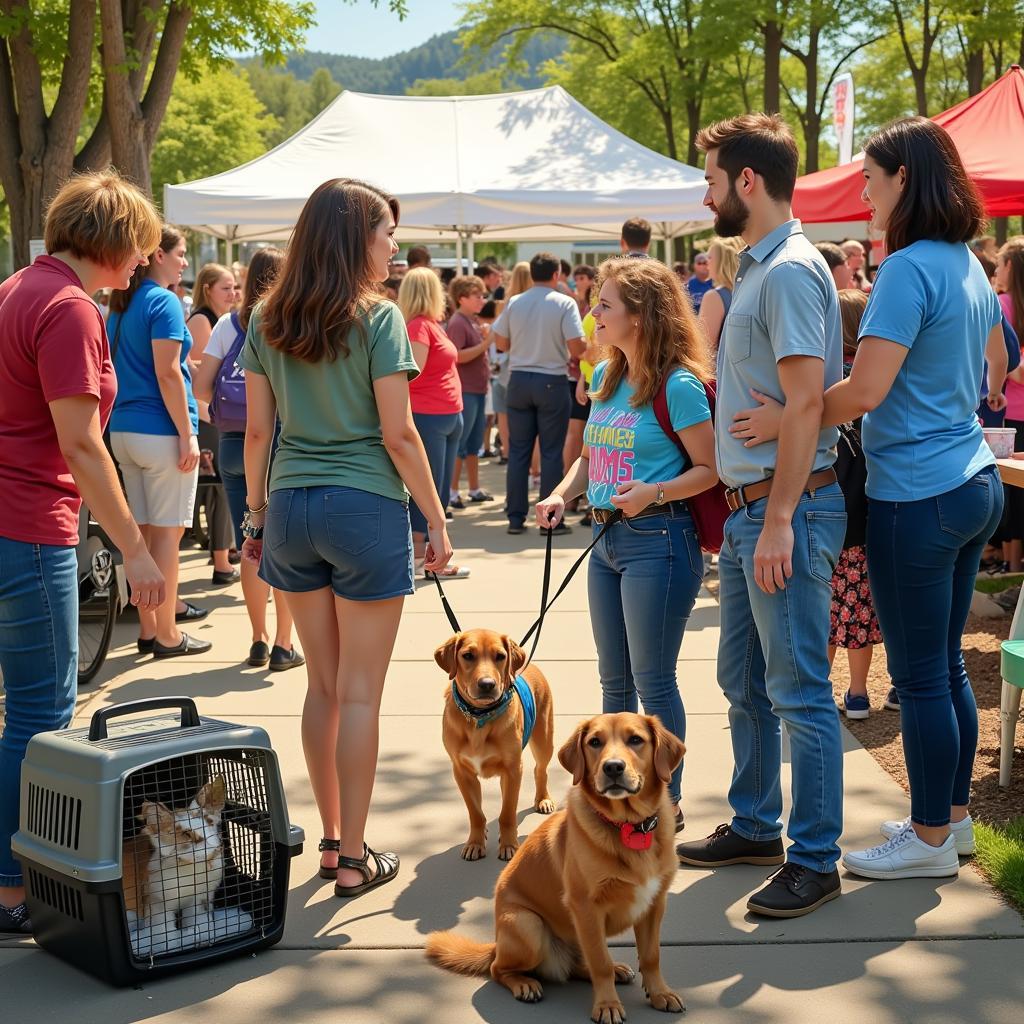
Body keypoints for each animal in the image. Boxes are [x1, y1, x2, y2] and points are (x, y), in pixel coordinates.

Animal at [12, 696, 303, 983]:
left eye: (211, 823)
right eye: (185, 834)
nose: (211, 848)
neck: (191, 873)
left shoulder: (198, 901)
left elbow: (198, 925)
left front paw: (206, 935)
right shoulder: (157, 904)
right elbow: (167, 936)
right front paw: (171, 945)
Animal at [423, 712, 688, 1024]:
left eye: (636, 739)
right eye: (594, 742)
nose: (613, 767)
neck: (628, 826)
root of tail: (496, 945)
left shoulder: (654, 904)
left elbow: (650, 956)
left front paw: (660, 993)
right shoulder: (586, 908)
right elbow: (600, 963)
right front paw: (607, 1005)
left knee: (578, 966)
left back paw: (616, 970)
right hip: (529, 926)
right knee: (499, 969)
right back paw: (524, 984)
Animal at [436, 626, 557, 860]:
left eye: (500, 656)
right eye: (468, 655)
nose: (487, 684)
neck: (479, 717)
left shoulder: (513, 769)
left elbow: (507, 812)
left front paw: (509, 844)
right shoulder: (461, 772)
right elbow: (476, 813)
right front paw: (475, 842)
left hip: (543, 740)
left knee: (540, 770)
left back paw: (543, 799)